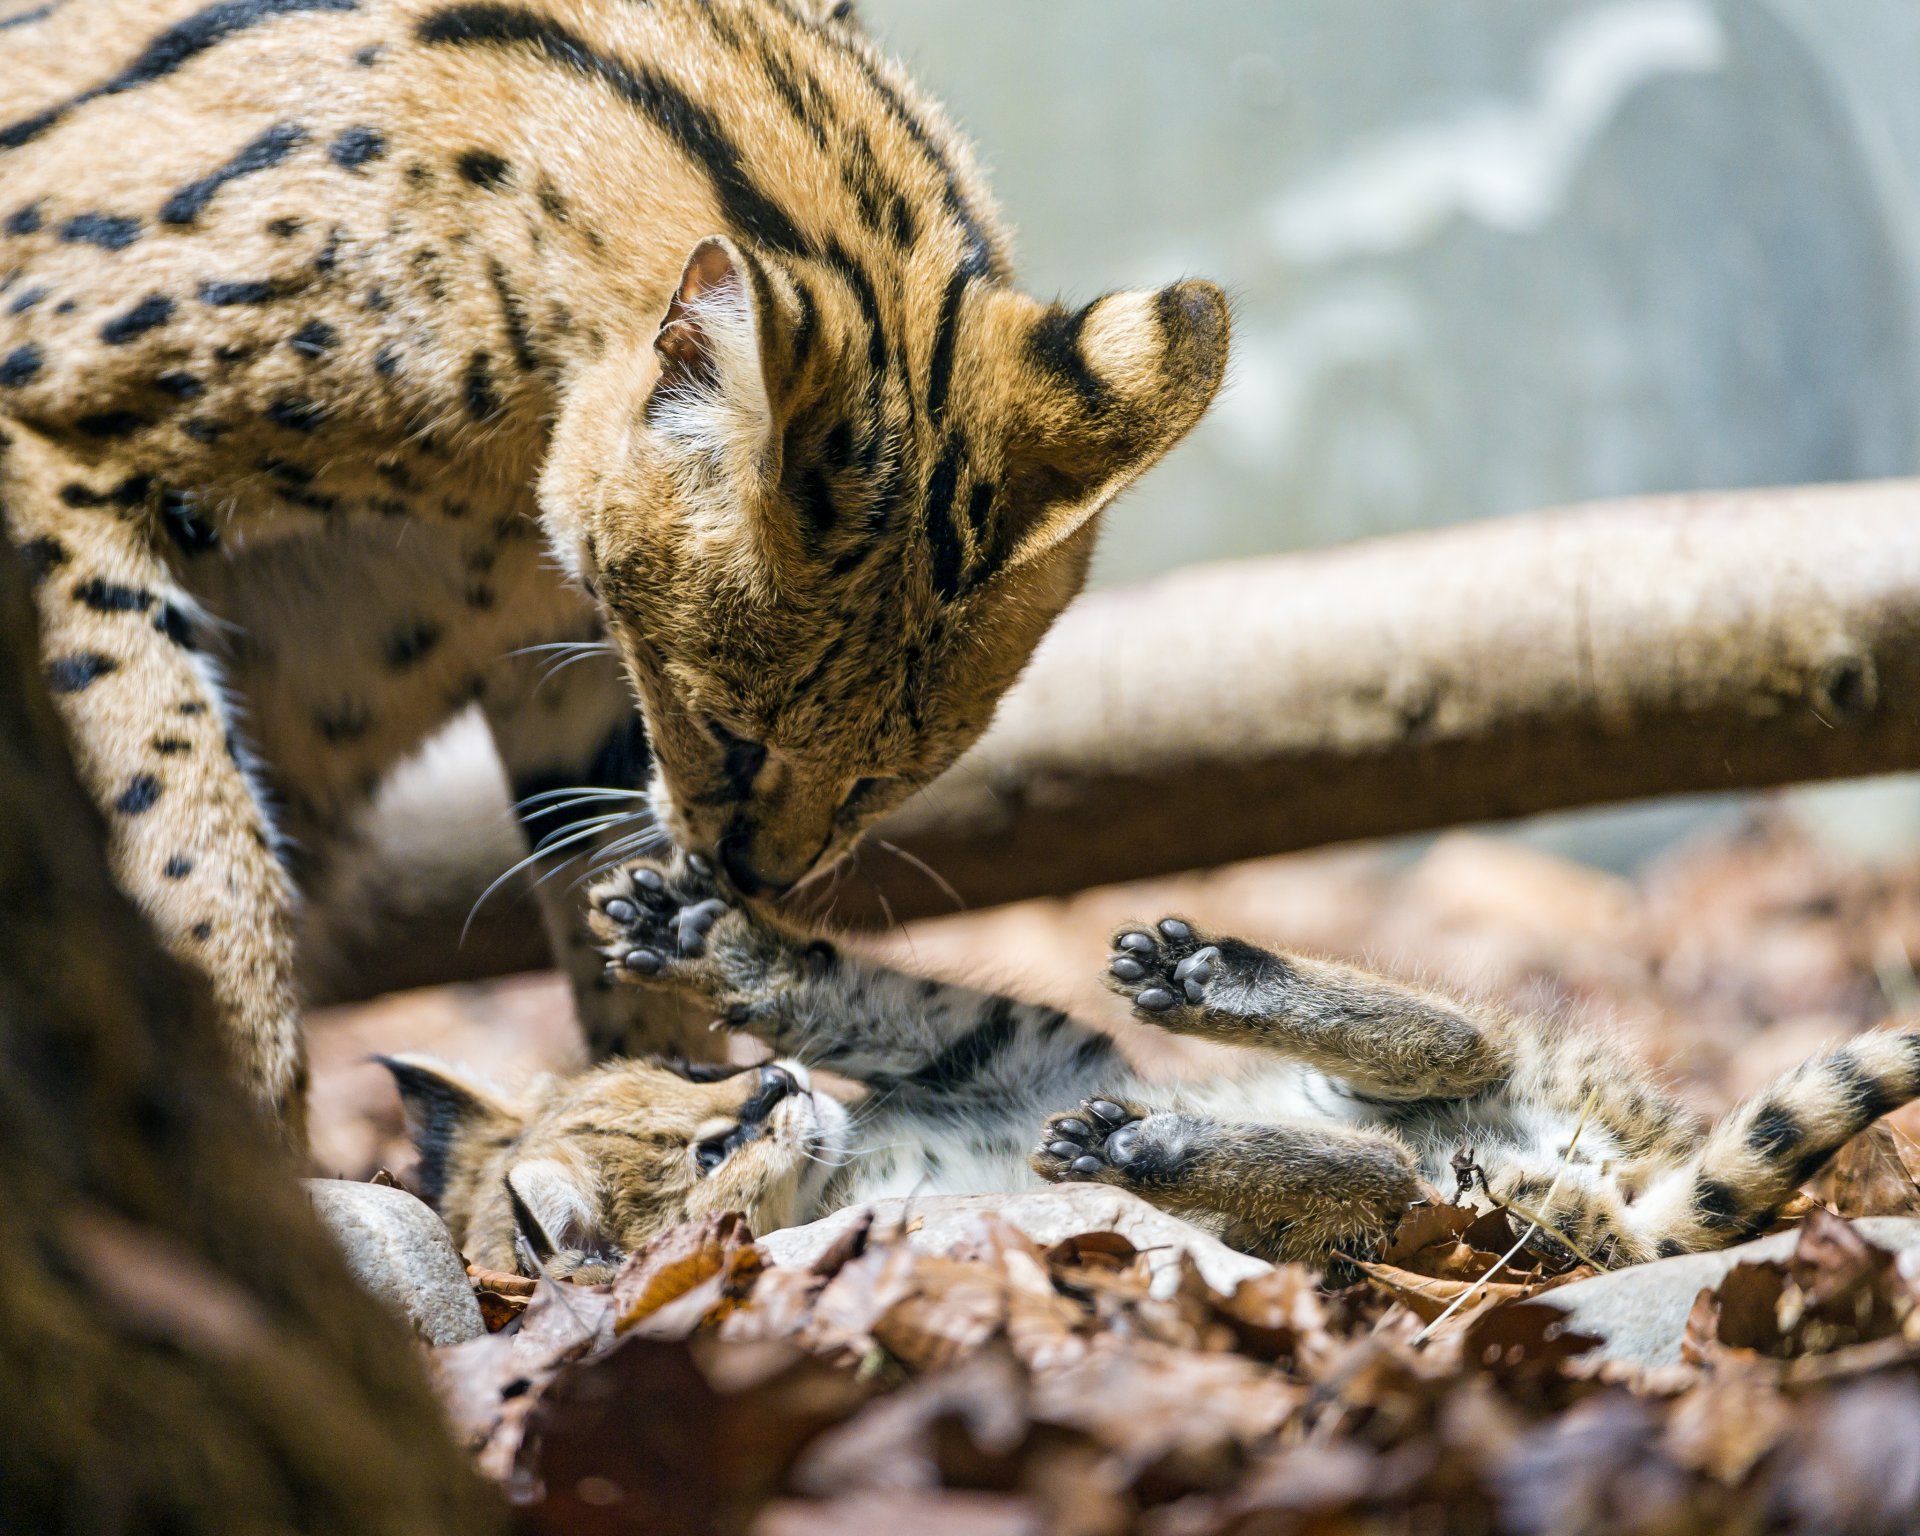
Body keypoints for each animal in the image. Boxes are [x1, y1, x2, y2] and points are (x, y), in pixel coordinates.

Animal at [0, 0, 1229, 1145]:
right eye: (730, 729)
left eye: (889, 776)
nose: (763, 879)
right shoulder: (49, 455)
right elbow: (188, 833)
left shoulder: (560, 646)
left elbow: (602, 873)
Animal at [386, 852, 1920, 1280]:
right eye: (711, 1151)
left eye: (699, 1085)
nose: (768, 1092)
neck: (848, 1166)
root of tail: (1629, 1183)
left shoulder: (1012, 1046)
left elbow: (862, 991)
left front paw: (701, 937)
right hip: (1465, 1218)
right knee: (1384, 1170)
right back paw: (1160, 1146)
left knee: (1450, 1051)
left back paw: (1210, 992)